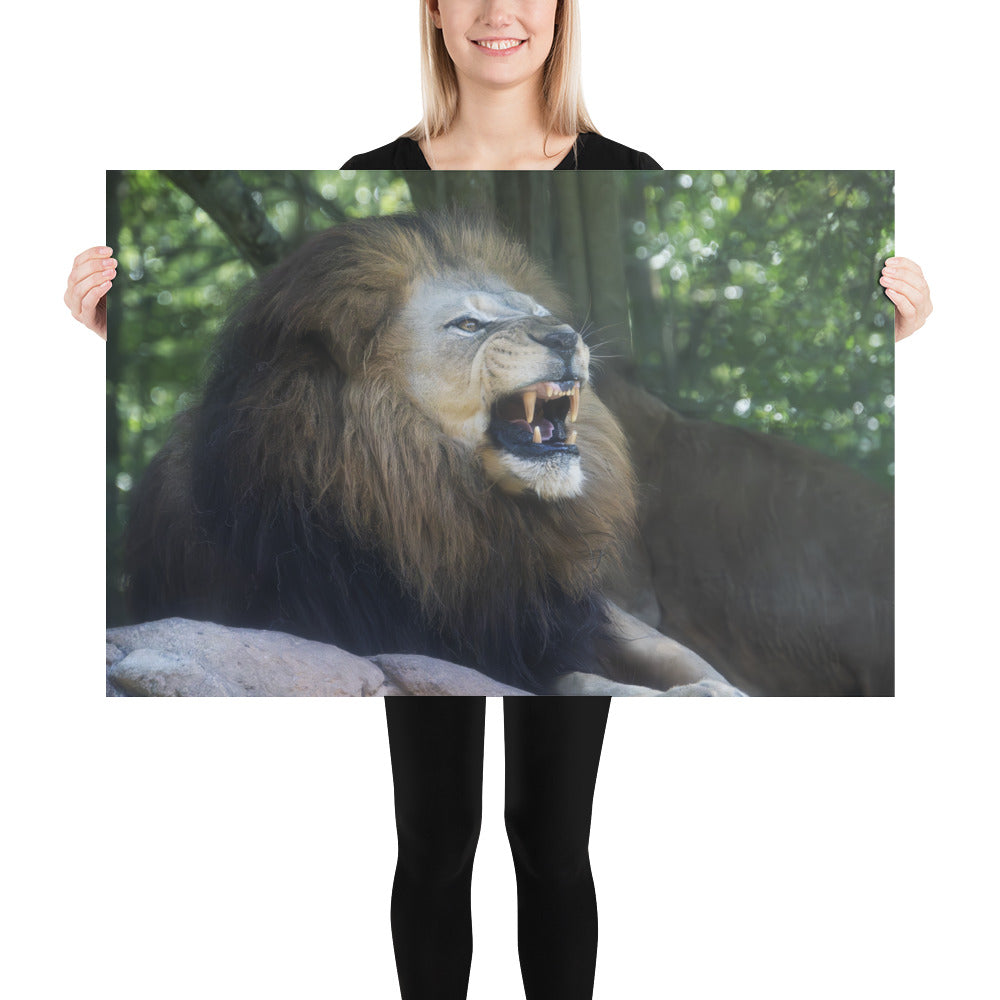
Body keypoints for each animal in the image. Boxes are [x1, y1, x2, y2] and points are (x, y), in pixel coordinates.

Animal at [125, 212, 740, 696]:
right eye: (468, 324)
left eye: (540, 312)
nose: (566, 336)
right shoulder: (400, 636)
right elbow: (582, 680)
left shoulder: (552, 622)